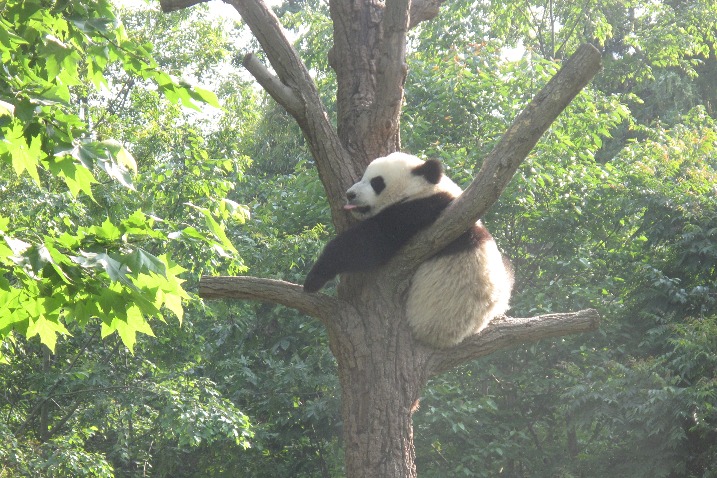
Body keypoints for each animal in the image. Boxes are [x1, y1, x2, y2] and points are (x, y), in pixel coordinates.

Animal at [303, 152, 513, 348]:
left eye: (376, 182)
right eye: (363, 176)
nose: (350, 194)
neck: (425, 189)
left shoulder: (418, 211)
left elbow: (370, 243)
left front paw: (314, 278)